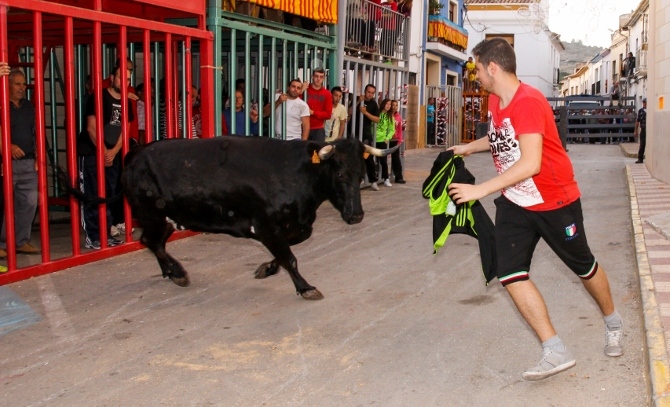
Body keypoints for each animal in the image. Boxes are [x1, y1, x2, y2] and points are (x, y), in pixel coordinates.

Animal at [120, 137, 402, 300]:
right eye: (340, 174)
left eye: (361, 172)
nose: (356, 216)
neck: (298, 173)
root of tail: (137, 152)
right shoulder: (265, 225)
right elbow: (289, 256)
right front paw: (305, 287)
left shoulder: (295, 226)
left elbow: (288, 249)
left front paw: (266, 268)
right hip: (151, 214)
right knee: (151, 241)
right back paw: (177, 272)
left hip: (165, 218)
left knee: (155, 241)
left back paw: (169, 271)